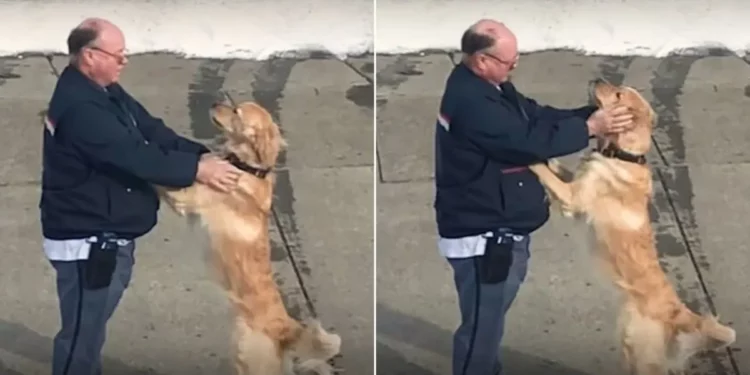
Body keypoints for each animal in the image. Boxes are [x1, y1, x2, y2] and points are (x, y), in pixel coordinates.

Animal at [156, 98, 344, 374]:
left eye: (236, 111)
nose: (213, 102)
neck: (246, 167)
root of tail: (285, 329)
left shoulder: (184, 197)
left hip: (246, 355)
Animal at [532, 79, 736, 375]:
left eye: (618, 94)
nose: (597, 79)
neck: (622, 154)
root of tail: (678, 313)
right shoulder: (576, 186)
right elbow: (559, 169)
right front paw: (550, 158)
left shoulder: (573, 198)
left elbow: (544, 172)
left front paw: (531, 158)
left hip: (640, 353)